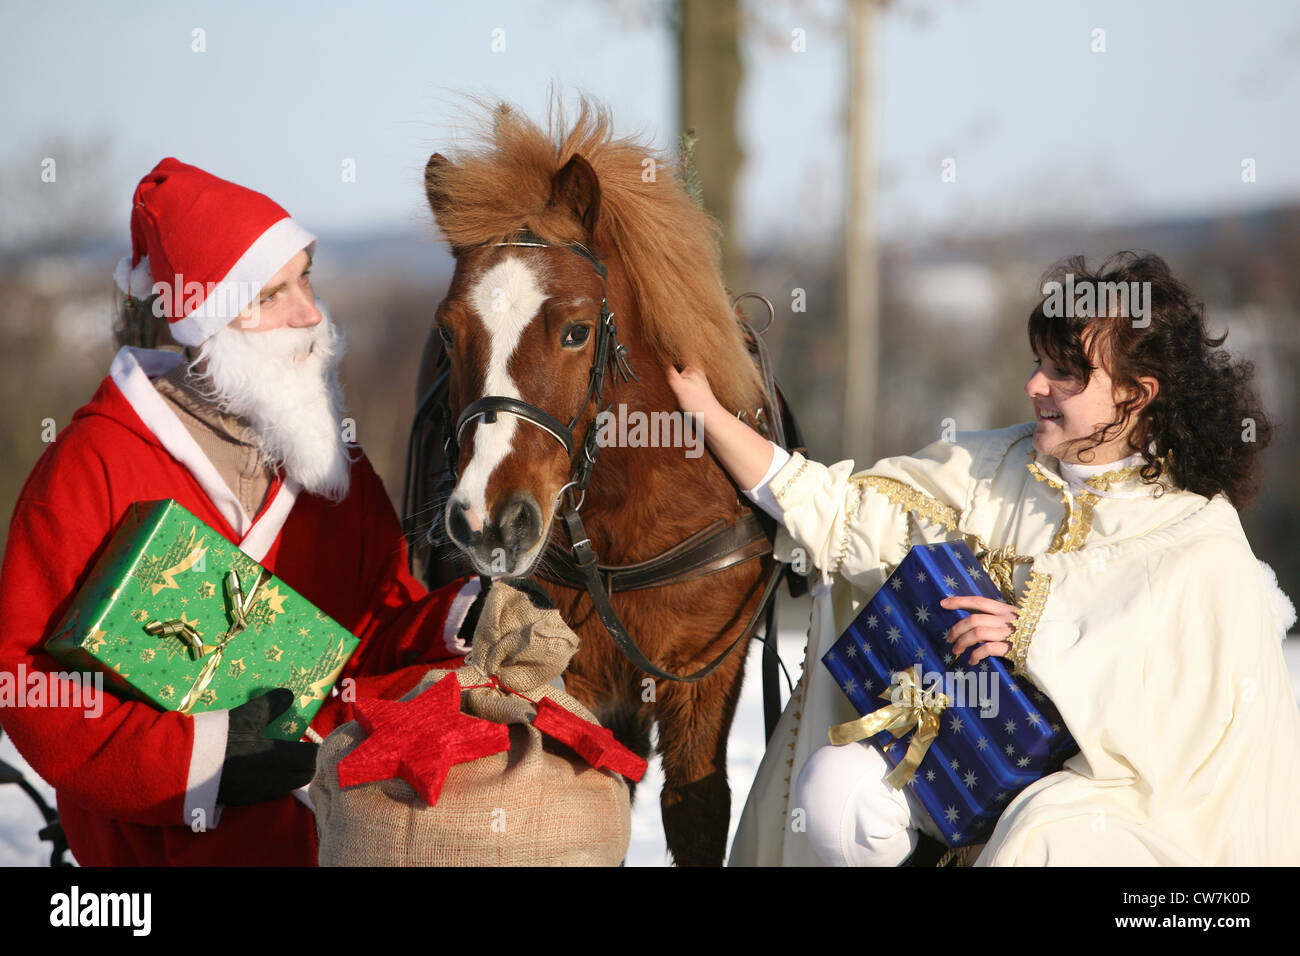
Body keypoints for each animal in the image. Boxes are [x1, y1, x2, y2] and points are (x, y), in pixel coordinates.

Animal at [413, 98, 780, 868]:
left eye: (577, 331)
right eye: (449, 335)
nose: (489, 520)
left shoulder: (706, 674)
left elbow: (695, 805)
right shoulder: (567, 670)